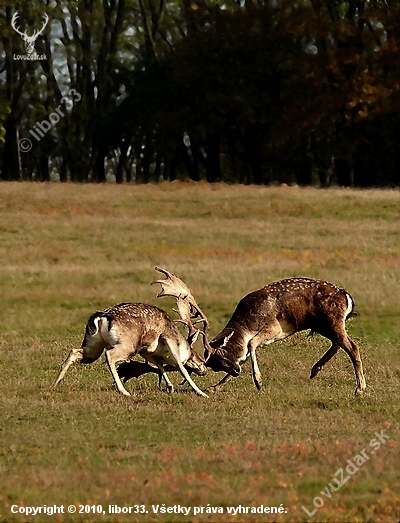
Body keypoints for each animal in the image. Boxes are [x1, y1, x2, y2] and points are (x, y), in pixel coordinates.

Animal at [53, 300, 208, 400]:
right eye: (193, 351)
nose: (204, 367)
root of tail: (102, 317)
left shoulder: (146, 350)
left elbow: (159, 365)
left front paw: (170, 387)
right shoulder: (167, 340)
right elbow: (181, 367)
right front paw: (201, 393)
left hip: (93, 346)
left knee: (74, 351)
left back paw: (56, 383)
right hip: (128, 345)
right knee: (110, 355)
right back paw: (123, 391)